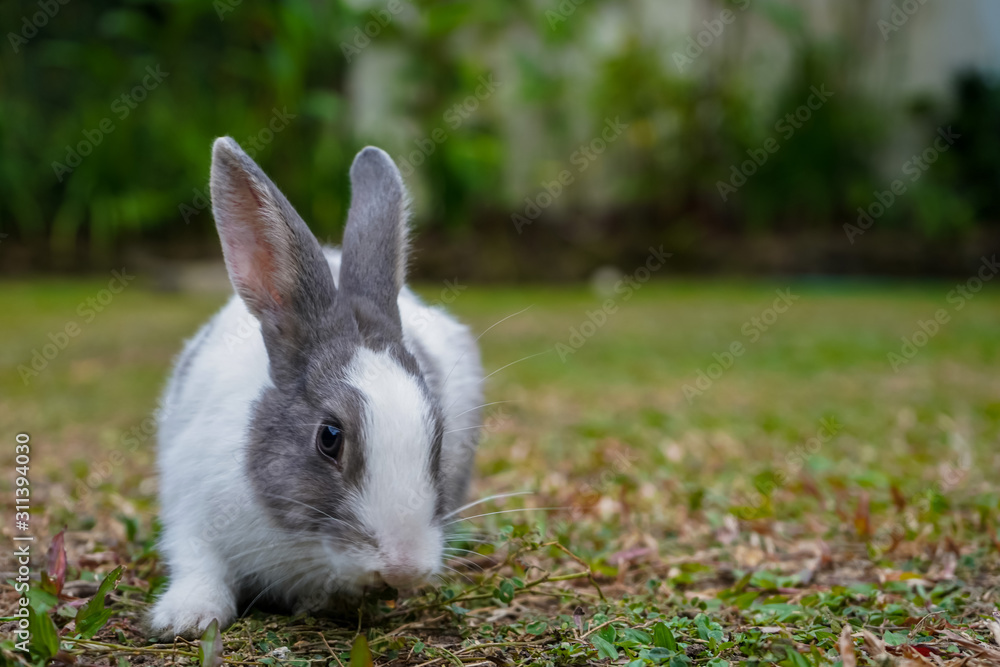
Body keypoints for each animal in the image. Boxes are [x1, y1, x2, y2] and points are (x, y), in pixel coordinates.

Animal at [149, 137, 483, 637]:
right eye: (330, 437)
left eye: (438, 439)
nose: (404, 567)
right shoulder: (188, 504)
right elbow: (199, 564)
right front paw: (186, 617)